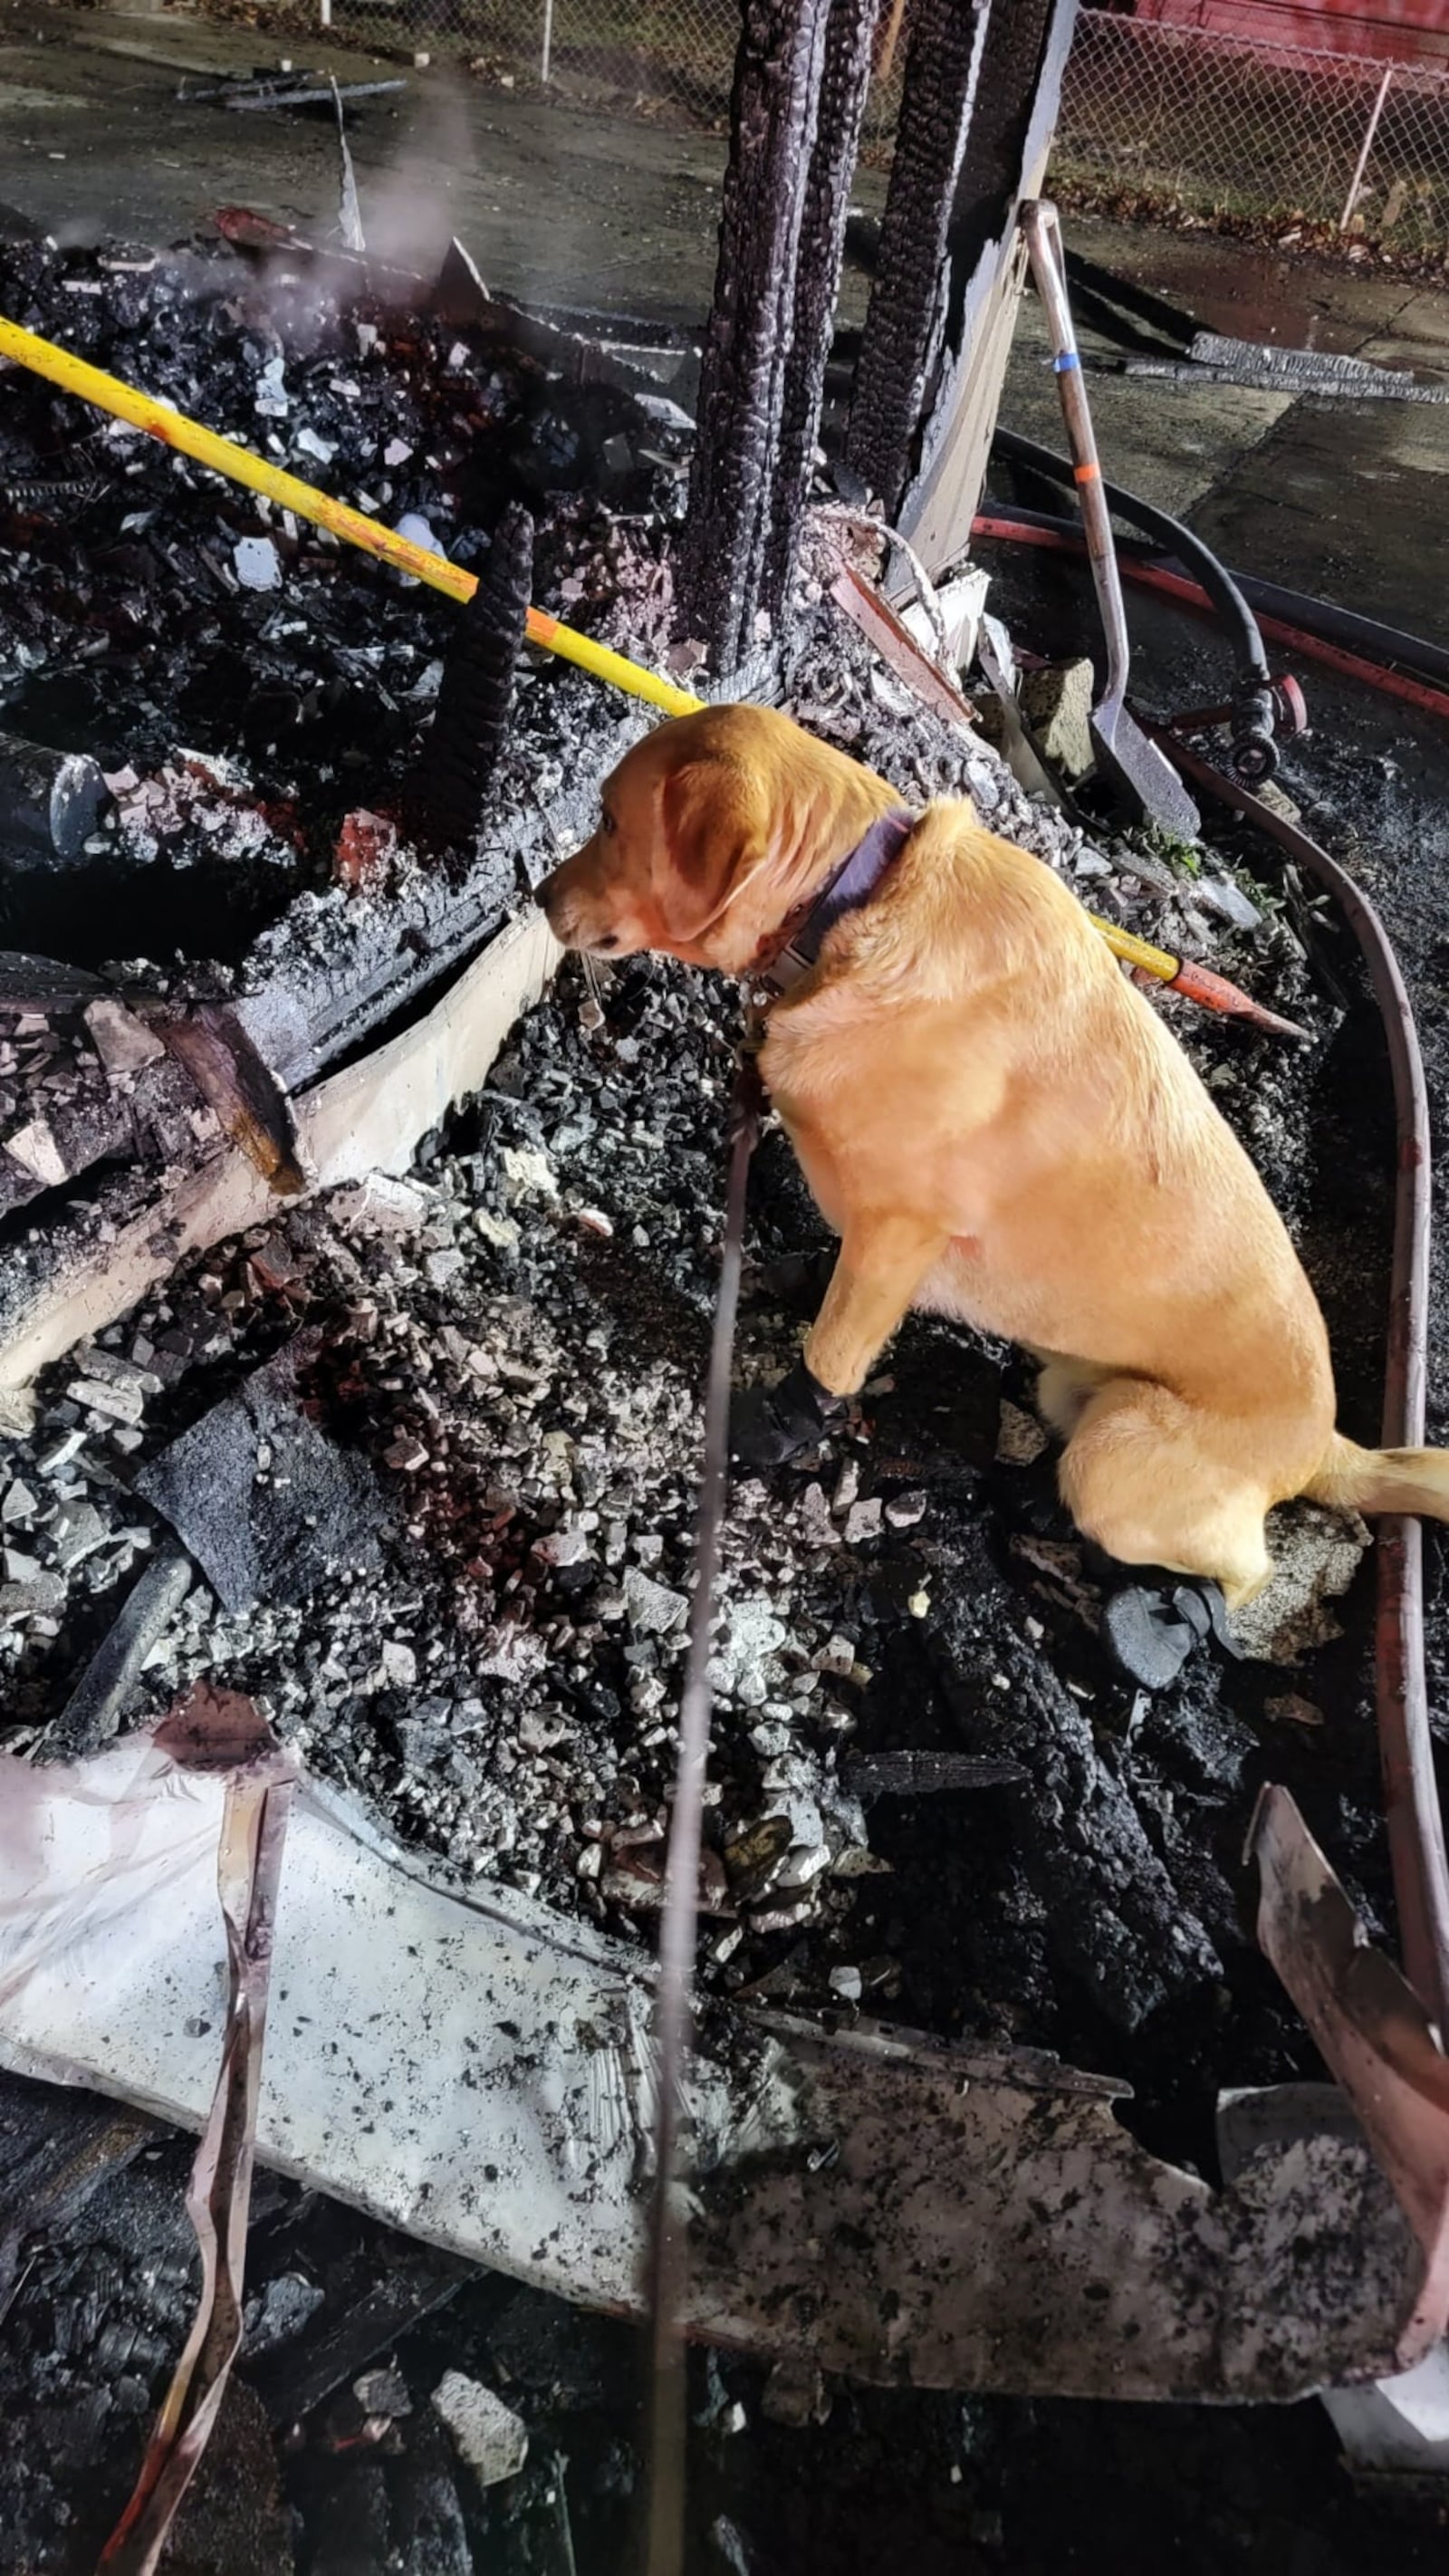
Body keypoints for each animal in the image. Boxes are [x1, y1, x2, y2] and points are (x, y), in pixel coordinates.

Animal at [537, 706, 1441, 1607]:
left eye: (610, 820)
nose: (538, 895)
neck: (854, 905)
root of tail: (1322, 1449)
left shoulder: (905, 1223)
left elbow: (833, 1353)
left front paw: (770, 1427)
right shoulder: (883, 1232)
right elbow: (842, 1278)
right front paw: (800, 1277)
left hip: (1119, 1446)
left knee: (1238, 1572)